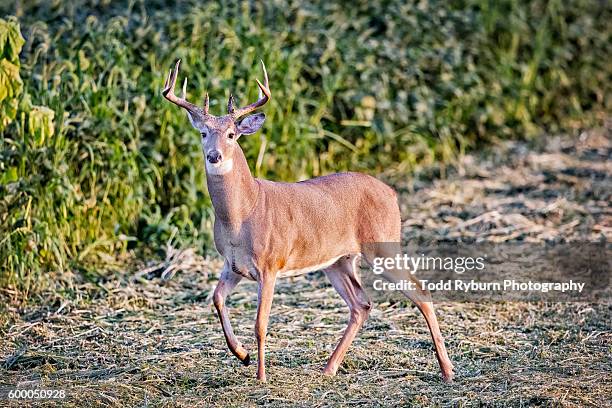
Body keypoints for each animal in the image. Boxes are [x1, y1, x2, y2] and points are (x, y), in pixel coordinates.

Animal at [163, 59, 454, 382]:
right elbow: (216, 298)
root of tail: (391, 193)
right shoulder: (233, 264)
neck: (244, 214)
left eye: (231, 134)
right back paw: (329, 368)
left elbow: (260, 324)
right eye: (203, 133)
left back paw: (447, 370)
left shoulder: (270, 264)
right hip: (338, 261)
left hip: (383, 246)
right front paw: (242, 355)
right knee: (361, 303)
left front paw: (261, 376)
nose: (214, 156)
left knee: (420, 291)